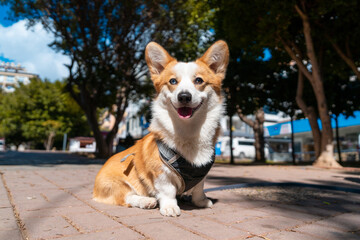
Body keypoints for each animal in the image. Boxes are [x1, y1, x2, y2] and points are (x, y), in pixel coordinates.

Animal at [93, 40, 228, 217]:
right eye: (173, 81)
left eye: (199, 80)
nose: (184, 96)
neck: (188, 130)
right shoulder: (160, 172)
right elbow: (167, 190)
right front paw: (170, 207)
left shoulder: (201, 173)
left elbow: (199, 188)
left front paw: (201, 202)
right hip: (116, 184)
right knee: (126, 197)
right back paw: (146, 201)